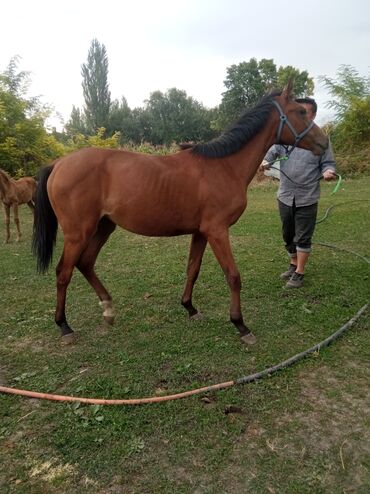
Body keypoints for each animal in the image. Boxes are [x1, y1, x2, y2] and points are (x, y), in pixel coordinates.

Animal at [31, 82, 326, 344]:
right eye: (301, 112)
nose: (324, 142)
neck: (223, 166)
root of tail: (58, 164)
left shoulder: (202, 232)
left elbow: (192, 269)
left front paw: (190, 308)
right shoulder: (217, 231)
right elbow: (233, 276)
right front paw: (240, 325)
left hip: (104, 226)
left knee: (86, 263)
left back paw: (108, 309)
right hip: (78, 233)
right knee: (64, 272)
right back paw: (65, 327)